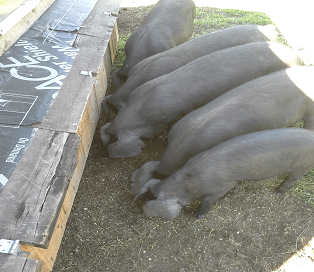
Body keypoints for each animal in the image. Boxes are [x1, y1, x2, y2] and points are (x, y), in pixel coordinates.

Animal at [135, 129, 314, 220]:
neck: (189, 182)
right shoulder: (230, 182)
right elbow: (235, 186)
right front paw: (237, 190)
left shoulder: (219, 187)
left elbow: (207, 200)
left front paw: (197, 216)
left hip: (301, 166)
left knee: (292, 179)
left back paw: (277, 192)